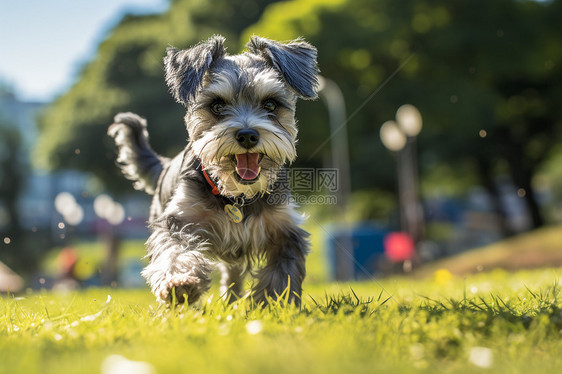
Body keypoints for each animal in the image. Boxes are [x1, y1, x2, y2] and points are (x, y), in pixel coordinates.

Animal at [108, 35, 320, 306]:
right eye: (217, 106)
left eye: (271, 104)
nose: (248, 135)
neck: (236, 196)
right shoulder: (177, 221)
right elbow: (175, 251)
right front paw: (180, 283)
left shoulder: (285, 230)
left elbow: (283, 271)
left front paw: (276, 303)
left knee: (232, 273)